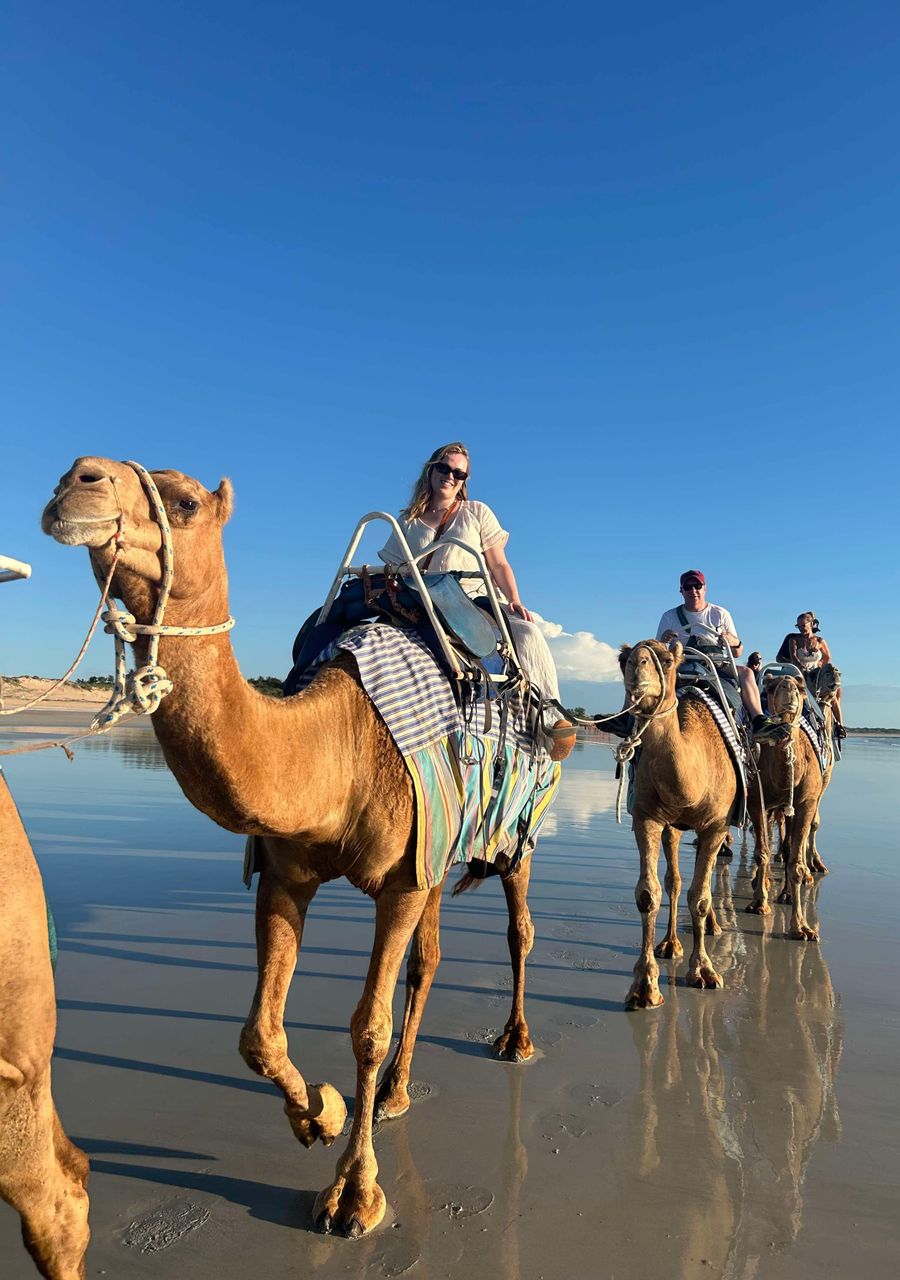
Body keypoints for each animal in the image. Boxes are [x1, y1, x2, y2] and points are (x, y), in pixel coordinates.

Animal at [41, 457, 543, 1238]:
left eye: (185, 502)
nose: (76, 481)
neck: (336, 745)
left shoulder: (399, 881)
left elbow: (366, 1027)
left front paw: (355, 1195)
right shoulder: (289, 873)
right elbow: (258, 1033)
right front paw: (322, 1114)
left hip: (514, 834)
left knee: (518, 929)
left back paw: (515, 1042)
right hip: (441, 849)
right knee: (428, 961)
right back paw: (395, 1093)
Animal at [617, 639, 741, 1010]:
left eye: (667, 660)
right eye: (623, 660)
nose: (637, 667)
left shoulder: (715, 825)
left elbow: (699, 897)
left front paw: (704, 971)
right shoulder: (648, 819)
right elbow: (649, 893)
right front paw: (645, 986)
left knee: (704, 882)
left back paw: (713, 927)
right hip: (671, 828)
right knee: (674, 880)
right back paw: (670, 944)